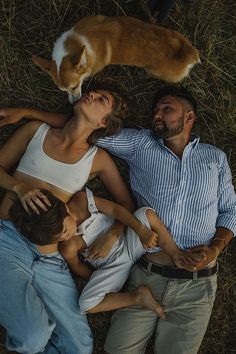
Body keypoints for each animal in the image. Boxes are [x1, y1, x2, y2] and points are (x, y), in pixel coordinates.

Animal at [32, 15, 199, 101]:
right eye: (62, 90)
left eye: (74, 87)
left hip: (156, 71)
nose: (74, 103)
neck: (80, 42)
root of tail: (188, 54)